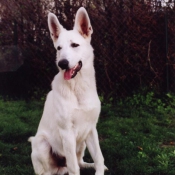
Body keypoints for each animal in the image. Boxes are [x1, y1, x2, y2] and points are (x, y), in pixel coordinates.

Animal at [28, 6, 106, 175]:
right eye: (59, 48)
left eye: (75, 45)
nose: (62, 63)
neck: (78, 88)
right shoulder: (67, 134)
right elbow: (73, 167)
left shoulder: (91, 129)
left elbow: (98, 157)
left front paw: (99, 168)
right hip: (42, 143)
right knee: (51, 170)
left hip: (82, 142)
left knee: (80, 161)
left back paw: (88, 165)